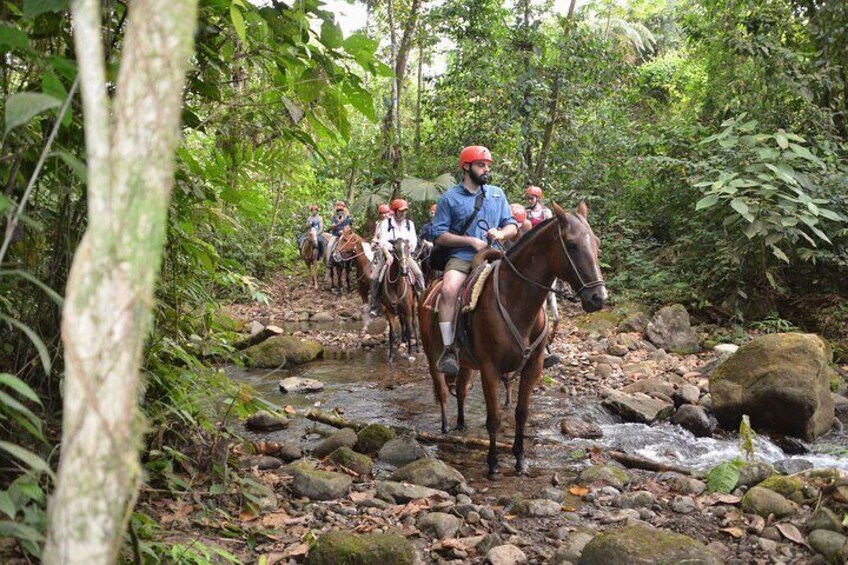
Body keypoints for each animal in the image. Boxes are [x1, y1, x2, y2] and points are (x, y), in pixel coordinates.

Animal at [416, 200, 604, 478]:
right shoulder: (490, 369)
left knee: (461, 389)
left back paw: (461, 424)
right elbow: (493, 418)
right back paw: (446, 427)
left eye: (596, 243)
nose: (598, 298)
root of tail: (429, 289)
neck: (515, 302)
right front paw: (493, 463)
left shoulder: (532, 367)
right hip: (432, 356)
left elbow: (521, 413)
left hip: (466, 364)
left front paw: (520, 459)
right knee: (442, 392)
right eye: (571, 244)